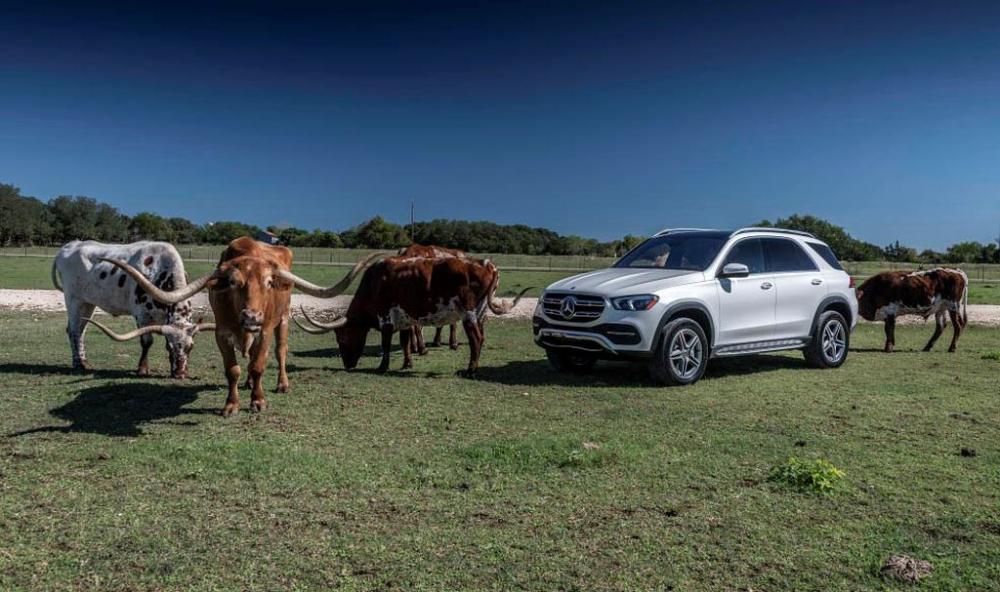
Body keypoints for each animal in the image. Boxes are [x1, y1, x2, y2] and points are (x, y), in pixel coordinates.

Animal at [52, 239, 207, 374]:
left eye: (190, 347)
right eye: (170, 347)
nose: (180, 373)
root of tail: (71, 245)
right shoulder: (142, 315)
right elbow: (147, 341)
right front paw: (143, 369)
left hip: (88, 303)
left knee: (81, 330)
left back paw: (84, 361)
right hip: (73, 300)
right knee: (73, 330)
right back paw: (78, 363)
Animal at [105, 236, 378, 416]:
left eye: (269, 282)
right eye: (235, 283)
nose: (252, 317)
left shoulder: (265, 331)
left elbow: (258, 365)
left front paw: (258, 401)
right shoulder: (222, 334)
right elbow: (233, 369)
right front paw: (231, 404)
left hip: (283, 319)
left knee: (280, 352)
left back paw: (282, 384)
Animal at [296, 254, 532, 374]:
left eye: (342, 338)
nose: (348, 365)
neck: (374, 283)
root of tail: (488, 264)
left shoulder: (386, 318)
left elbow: (386, 343)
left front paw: (383, 367)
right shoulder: (405, 318)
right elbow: (405, 341)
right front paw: (407, 363)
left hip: (469, 313)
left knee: (476, 339)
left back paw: (470, 369)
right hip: (481, 312)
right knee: (480, 337)